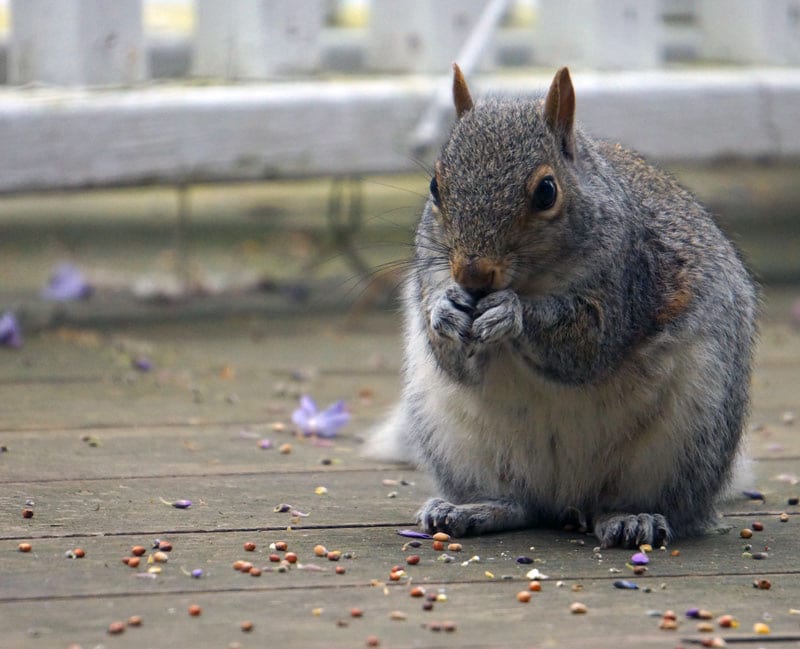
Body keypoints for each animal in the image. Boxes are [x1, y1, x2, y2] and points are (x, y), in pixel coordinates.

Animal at [368, 64, 756, 548]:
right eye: (436, 186)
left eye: (547, 191)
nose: (473, 275)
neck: (532, 282)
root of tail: (566, 501)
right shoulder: (432, 273)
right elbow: (453, 358)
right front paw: (444, 311)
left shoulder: (627, 279)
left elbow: (587, 345)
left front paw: (510, 312)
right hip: (454, 441)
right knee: (519, 505)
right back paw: (470, 509)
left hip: (688, 438)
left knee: (653, 506)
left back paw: (631, 518)